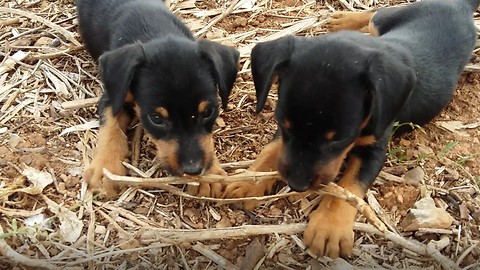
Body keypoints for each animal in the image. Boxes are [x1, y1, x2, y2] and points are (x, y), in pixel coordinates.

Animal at [76, 0, 238, 196]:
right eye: (156, 118)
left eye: (208, 112)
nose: (193, 170)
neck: (156, 30)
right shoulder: (113, 96)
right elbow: (110, 127)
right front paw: (105, 168)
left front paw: (210, 175)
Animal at [223, 0, 478, 260]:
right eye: (283, 124)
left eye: (339, 140)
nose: (296, 184)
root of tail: (459, 4)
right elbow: (271, 150)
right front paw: (247, 182)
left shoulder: (374, 150)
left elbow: (350, 185)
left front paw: (328, 227)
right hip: (385, 21)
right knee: (375, 15)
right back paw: (344, 19)